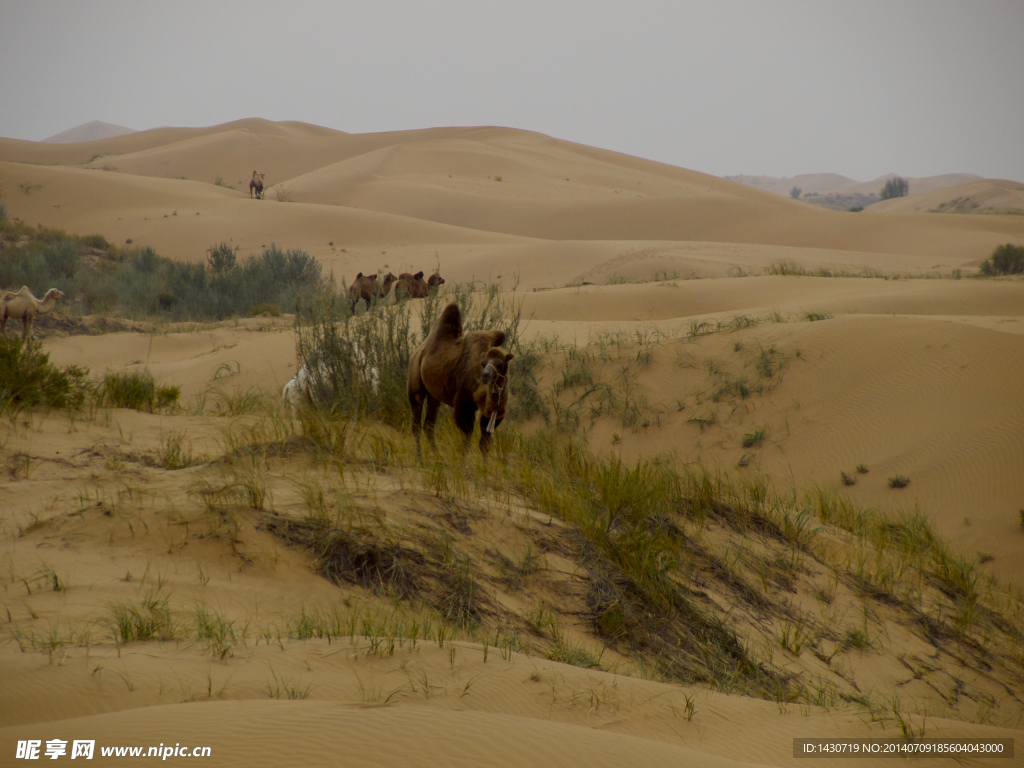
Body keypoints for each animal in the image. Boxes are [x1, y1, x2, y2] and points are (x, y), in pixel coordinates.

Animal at [407, 301, 512, 456]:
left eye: (501, 365)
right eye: (483, 363)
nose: (485, 376)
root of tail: (418, 351)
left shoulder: (494, 412)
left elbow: (484, 443)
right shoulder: (464, 406)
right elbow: (466, 441)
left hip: (434, 395)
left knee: (429, 424)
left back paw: (436, 455)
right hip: (415, 380)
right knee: (416, 423)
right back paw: (420, 457)